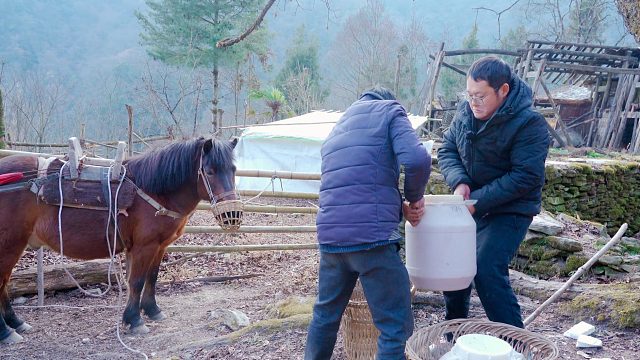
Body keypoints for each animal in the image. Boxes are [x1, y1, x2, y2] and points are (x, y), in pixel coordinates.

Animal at [0, 137, 239, 344]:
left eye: (234, 170)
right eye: (209, 171)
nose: (232, 215)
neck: (153, 191)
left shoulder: (159, 246)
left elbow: (152, 277)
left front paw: (152, 310)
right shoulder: (145, 246)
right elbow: (137, 281)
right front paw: (134, 320)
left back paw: (16, 323)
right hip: (10, 245)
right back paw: (6, 332)